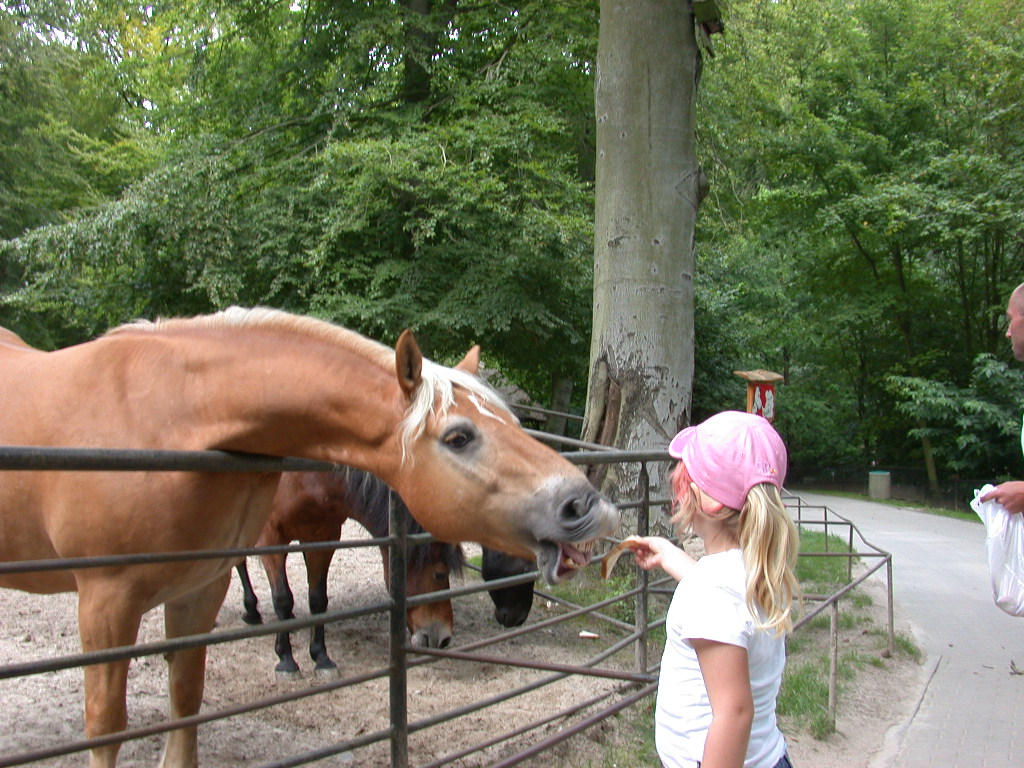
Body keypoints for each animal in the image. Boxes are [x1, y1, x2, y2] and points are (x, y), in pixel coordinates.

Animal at [234, 466, 466, 675]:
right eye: (440, 574)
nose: (443, 639)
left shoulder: (323, 536)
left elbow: (318, 599)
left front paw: (321, 658)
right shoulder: (271, 537)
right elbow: (282, 599)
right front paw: (286, 659)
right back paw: (252, 610)